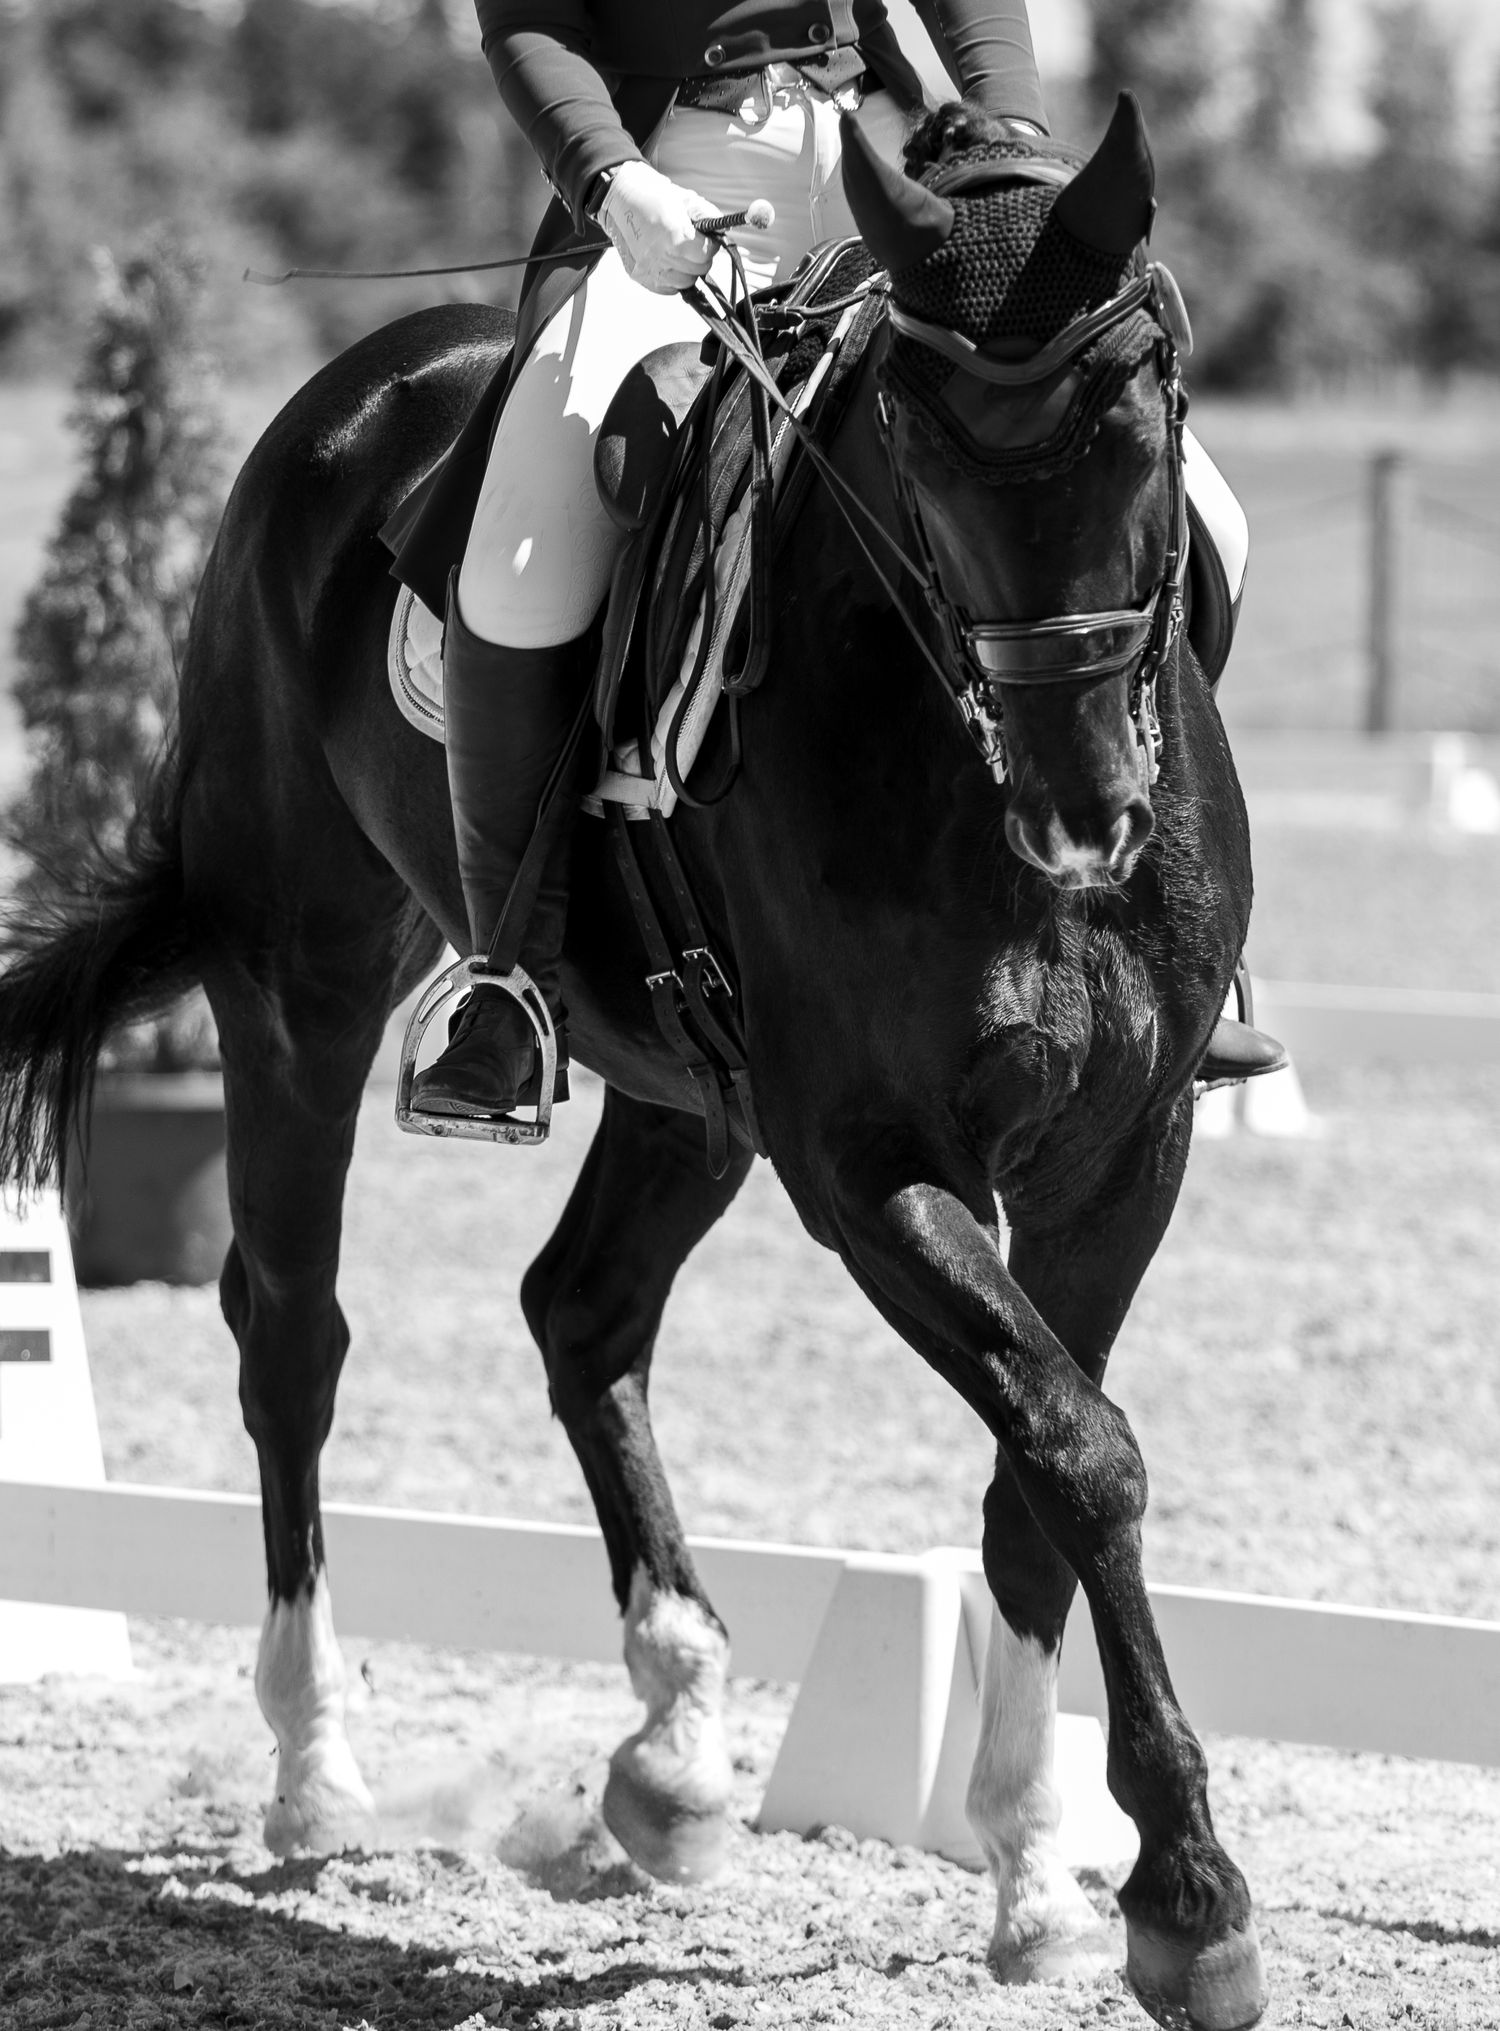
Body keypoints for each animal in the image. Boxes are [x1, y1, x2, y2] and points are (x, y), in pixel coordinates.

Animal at [0, 93, 1265, 2031]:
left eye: (1144, 403)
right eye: (916, 444)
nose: (1084, 814)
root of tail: (357, 392)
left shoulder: (1126, 1154)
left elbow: (1041, 1473)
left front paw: (1040, 1874)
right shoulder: (864, 1165)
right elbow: (1078, 1447)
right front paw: (1190, 1896)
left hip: (684, 1086)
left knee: (581, 1309)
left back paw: (674, 1751)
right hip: (298, 981)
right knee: (293, 1334)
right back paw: (318, 1770)